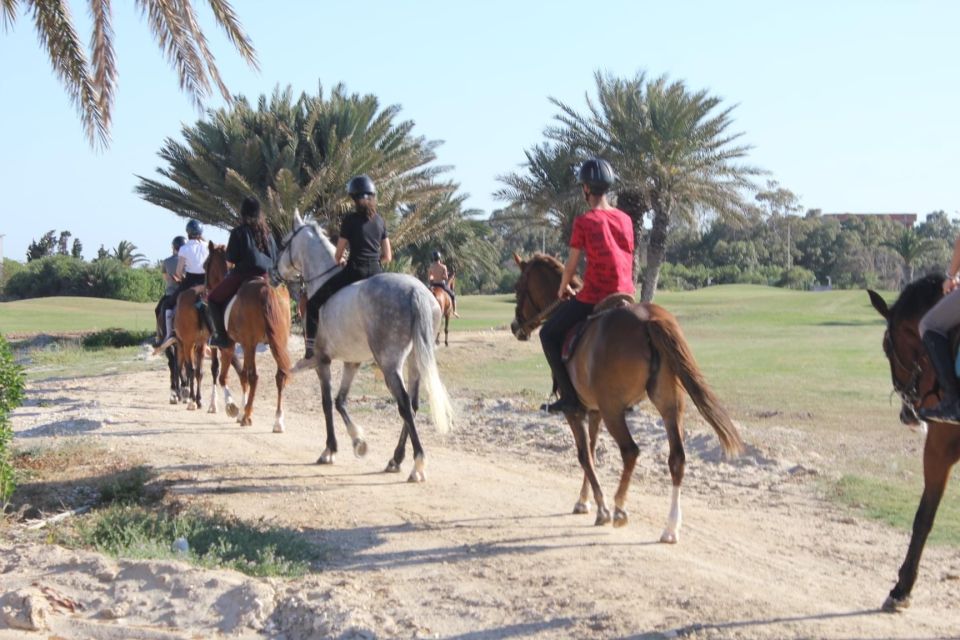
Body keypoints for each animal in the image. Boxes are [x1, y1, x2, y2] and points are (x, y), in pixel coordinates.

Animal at [204, 244, 290, 430]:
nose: (205, 291)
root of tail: (266, 288)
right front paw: (241, 410)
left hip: (250, 345)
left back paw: (247, 417)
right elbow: (242, 375)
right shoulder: (243, 344)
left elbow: (224, 377)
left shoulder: (229, 346)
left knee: (253, 377)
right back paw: (278, 420)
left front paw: (233, 407)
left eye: (205, 264)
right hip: (276, 343)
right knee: (279, 376)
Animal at [274, 212, 454, 482]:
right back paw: (396, 459)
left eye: (284, 243)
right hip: (415, 359)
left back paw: (417, 464)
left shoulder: (321, 361)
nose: (274, 270)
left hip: (389, 363)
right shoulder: (352, 361)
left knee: (404, 404)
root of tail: (415, 291)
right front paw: (358, 442)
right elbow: (340, 401)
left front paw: (329, 450)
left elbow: (327, 403)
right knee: (411, 405)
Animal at [510, 252, 744, 536]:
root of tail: (648, 320)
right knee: (677, 458)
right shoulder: (594, 410)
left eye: (518, 288)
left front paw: (600, 508)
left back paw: (619, 508)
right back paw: (670, 527)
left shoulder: (576, 411)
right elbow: (592, 450)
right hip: (669, 405)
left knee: (630, 451)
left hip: (614, 411)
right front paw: (583, 501)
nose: (514, 326)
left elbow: (584, 455)